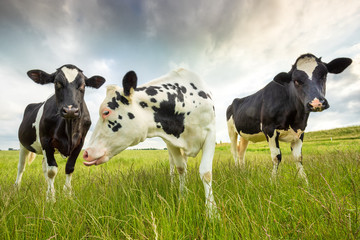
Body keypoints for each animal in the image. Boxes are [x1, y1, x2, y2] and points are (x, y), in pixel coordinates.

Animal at [15, 64, 105, 202]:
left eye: (83, 85)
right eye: (57, 83)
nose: (70, 110)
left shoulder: (80, 142)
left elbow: (69, 168)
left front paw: (67, 194)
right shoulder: (46, 140)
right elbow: (52, 170)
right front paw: (51, 197)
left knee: (44, 166)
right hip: (23, 145)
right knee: (21, 167)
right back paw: (17, 187)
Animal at [82, 68, 217, 217]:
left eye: (106, 112)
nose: (86, 152)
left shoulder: (211, 133)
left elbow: (206, 173)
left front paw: (212, 212)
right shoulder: (171, 143)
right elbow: (181, 169)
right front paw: (183, 197)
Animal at [228, 53, 352, 183]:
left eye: (324, 75)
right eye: (296, 81)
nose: (316, 103)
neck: (295, 118)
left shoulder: (300, 131)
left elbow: (298, 158)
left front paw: (306, 182)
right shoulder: (269, 129)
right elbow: (276, 157)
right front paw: (273, 182)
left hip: (244, 135)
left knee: (241, 152)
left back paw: (243, 172)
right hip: (231, 131)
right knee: (235, 152)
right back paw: (237, 172)